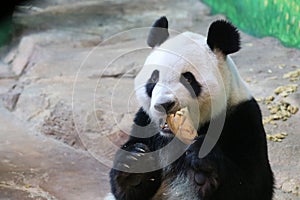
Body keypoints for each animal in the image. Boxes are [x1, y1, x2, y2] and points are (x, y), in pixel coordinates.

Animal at [107, 16, 274, 200]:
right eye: (154, 78)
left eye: (188, 78)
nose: (164, 104)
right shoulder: (145, 122)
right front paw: (134, 162)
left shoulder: (242, 117)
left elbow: (254, 184)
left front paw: (203, 157)